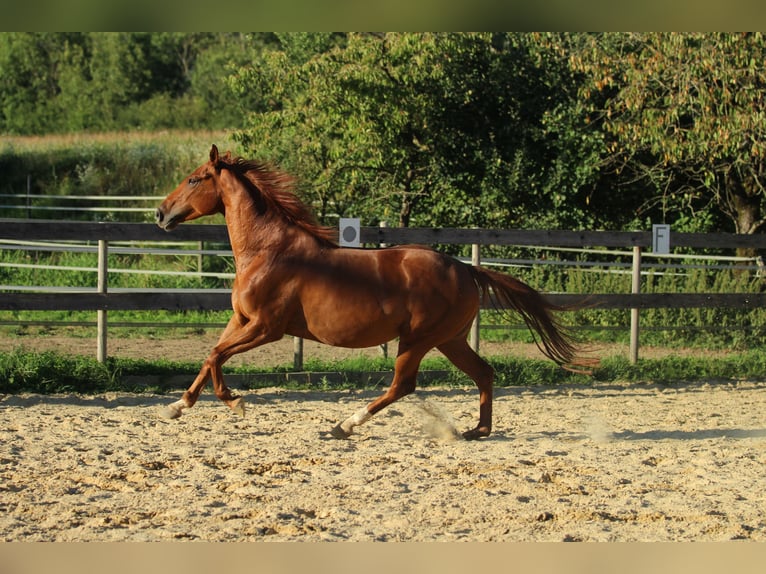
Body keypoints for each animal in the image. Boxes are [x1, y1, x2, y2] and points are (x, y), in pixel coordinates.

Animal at [153, 147, 592, 440]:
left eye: (194, 178)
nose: (160, 213)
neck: (267, 251)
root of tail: (466, 269)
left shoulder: (266, 327)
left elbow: (215, 356)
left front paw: (235, 402)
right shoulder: (240, 320)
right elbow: (210, 356)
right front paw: (177, 406)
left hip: (418, 339)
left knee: (403, 385)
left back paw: (345, 424)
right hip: (450, 339)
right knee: (483, 373)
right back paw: (476, 431)